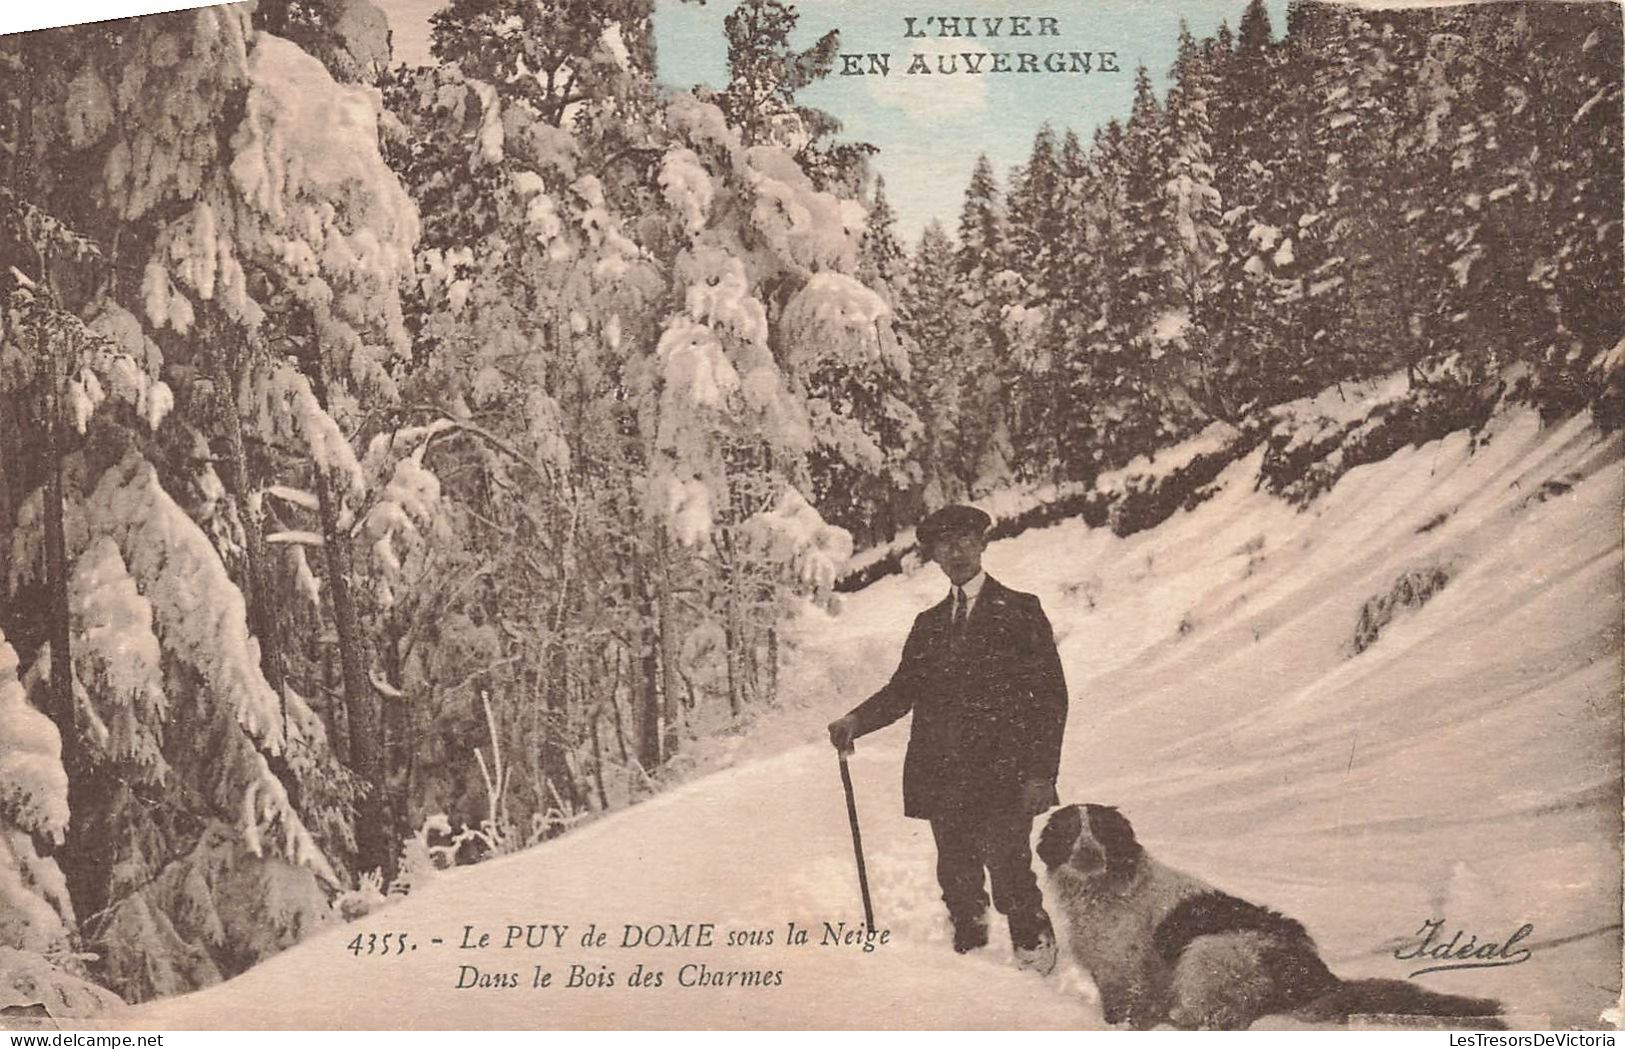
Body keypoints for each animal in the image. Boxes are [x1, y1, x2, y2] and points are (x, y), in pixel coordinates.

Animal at [1033, 808, 1501, 1032]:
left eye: (1102, 830)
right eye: (1070, 831)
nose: (1087, 854)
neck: (1105, 888)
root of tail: (1322, 977)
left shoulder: (1128, 968)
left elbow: (1131, 1006)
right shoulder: (1109, 969)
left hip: (1210, 948)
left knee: (1223, 1014)